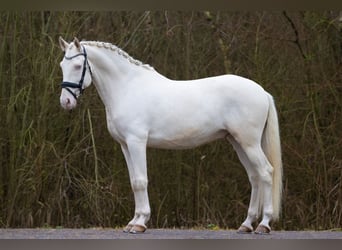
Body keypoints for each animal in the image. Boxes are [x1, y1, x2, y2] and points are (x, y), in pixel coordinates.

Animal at [58, 36, 282, 234]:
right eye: (62, 65)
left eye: (77, 66)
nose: (65, 102)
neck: (128, 88)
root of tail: (262, 91)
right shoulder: (125, 145)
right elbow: (133, 181)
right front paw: (133, 221)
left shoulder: (137, 142)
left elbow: (141, 181)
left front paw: (140, 224)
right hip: (237, 142)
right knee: (254, 176)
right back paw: (246, 224)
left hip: (249, 143)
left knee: (266, 172)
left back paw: (264, 224)